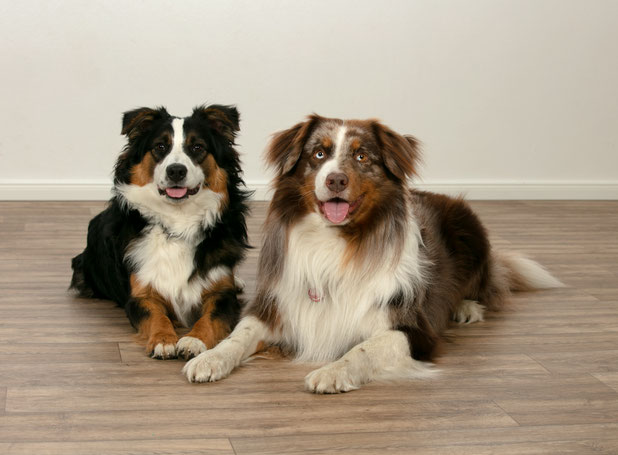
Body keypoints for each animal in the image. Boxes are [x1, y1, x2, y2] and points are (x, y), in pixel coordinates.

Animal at [70, 104, 250, 359]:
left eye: (197, 147)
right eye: (160, 147)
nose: (176, 171)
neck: (177, 221)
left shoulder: (223, 295)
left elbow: (210, 317)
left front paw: (194, 340)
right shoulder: (140, 294)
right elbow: (156, 315)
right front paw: (163, 340)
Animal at [183, 114, 563, 392]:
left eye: (362, 156)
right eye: (318, 154)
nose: (335, 180)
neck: (334, 243)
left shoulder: (413, 330)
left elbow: (362, 348)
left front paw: (332, 371)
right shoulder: (276, 307)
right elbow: (238, 335)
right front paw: (209, 358)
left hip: (470, 228)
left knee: (487, 284)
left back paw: (467, 307)